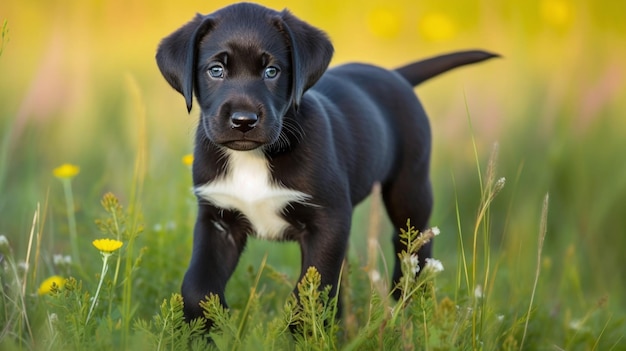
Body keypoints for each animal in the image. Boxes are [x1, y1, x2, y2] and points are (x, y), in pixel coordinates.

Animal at [155, 2, 492, 324]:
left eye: (272, 72)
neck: (253, 158)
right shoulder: (217, 220)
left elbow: (311, 291)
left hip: (410, 187)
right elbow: (197, 284)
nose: (243, 121)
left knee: (413, 245)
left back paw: (406, 299)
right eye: (215, 70)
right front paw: (213, 323)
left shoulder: (329, 219)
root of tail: (395, 75)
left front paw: (307, 333)